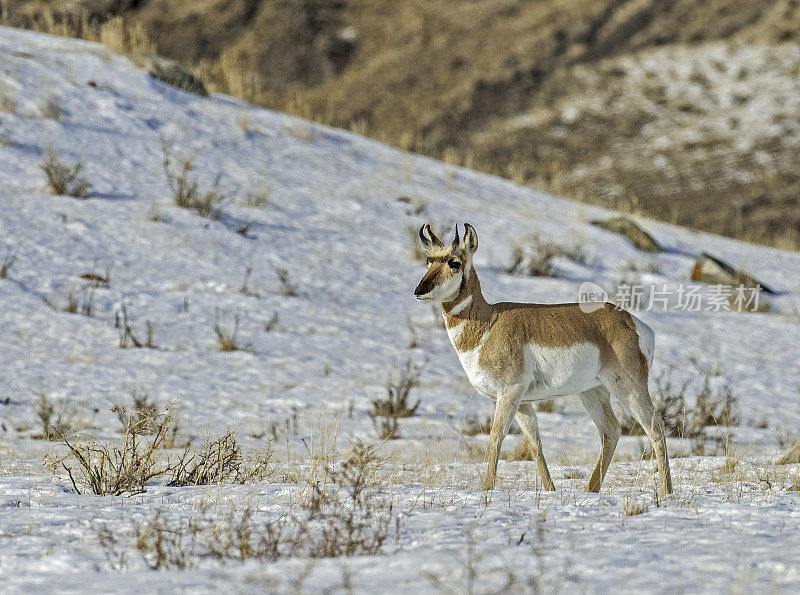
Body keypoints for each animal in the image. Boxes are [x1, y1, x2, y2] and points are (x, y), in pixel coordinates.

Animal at [416, 224, 672, 494]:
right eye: (428, 260)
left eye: (454, 262)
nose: (419, 291)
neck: (489, 322)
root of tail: (631, 322)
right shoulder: (523, 402)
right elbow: (534, 443)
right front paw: (550, 490)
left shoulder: (509, 393)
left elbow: (496, 436)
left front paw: (486, 488)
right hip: (592, 392)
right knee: (611, 430)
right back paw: (591, 489)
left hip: (628, 387)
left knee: (655, 427)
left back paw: (666, 491)